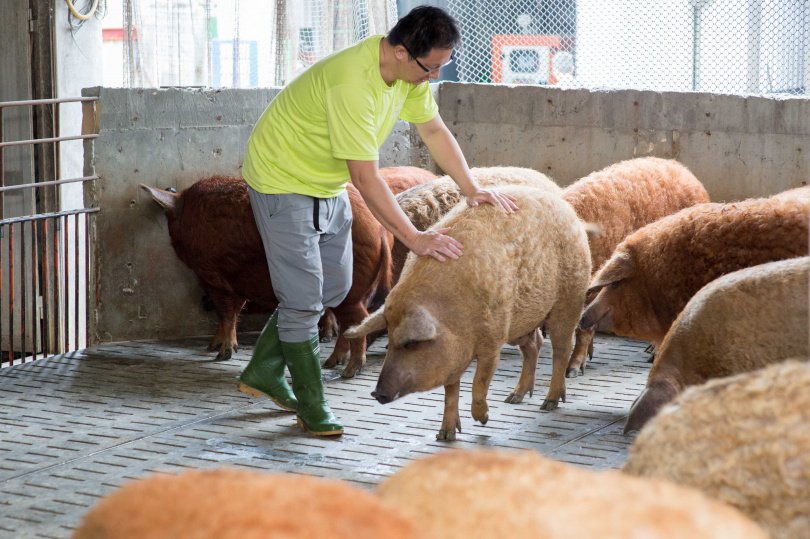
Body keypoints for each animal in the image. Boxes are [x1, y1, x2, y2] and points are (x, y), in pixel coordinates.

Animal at [344, 188, 592, 440]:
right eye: (390, 340)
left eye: (410, 344)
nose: (376, 393)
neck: (454, 316)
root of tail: (566, 208)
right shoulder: (453, 354)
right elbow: (450, 390)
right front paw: (444, 436)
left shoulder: (493, 338)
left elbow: (478, 381)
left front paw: (483, 420)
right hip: (523, 321)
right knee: (535, 344)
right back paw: (514, 398)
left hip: (570, 297)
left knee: (561, 348)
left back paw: (549, 403)